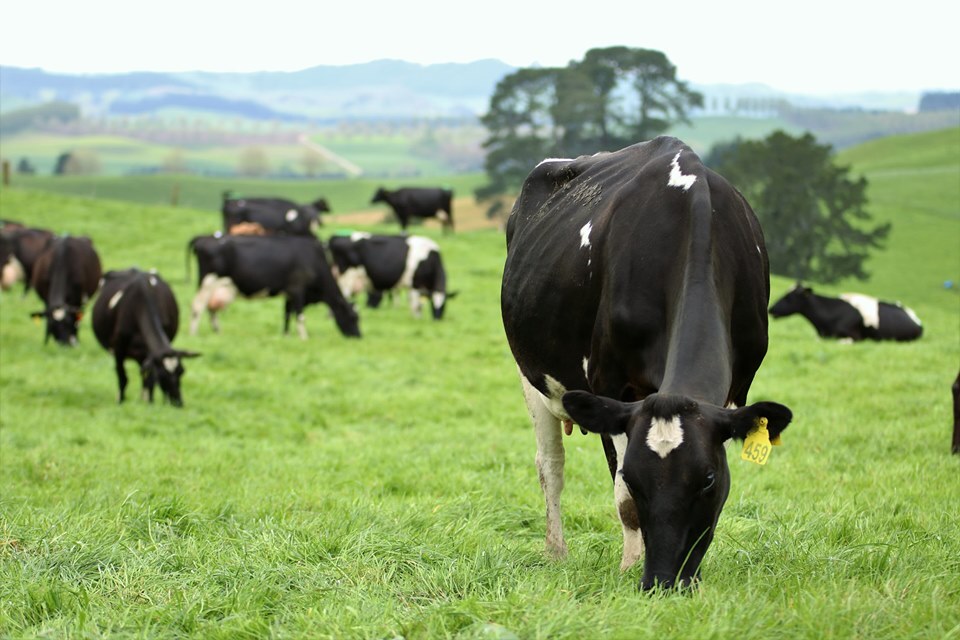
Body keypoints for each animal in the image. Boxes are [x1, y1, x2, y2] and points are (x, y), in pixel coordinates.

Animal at [92, 268, 201, 408]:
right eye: (162, 375)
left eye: (181, 371)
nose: (178, 402)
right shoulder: (118, 349)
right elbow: (123, 378)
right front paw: (120, 402)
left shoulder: (150, 355)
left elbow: (150, 381)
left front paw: (150, 403)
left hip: (143, 356)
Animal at [188, 232, 360, 338]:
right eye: (353, 318)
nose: (358, 336)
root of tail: (204, 237)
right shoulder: (298, 289)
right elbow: (300, 316)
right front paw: (304, 337)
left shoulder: (289, 293)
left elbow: (287, 314)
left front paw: (286, 335)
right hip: (208, 282)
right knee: (198, 306)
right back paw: (194, 333)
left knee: (210, 308)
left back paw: (217, 331)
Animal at [328, 232, 456, 320]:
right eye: (433, 304)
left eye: (444, 305)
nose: (437, 319)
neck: (430, 259)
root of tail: (337, 237)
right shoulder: (414, 285)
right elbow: (416, 304)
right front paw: (417, 319)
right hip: (347, 279)